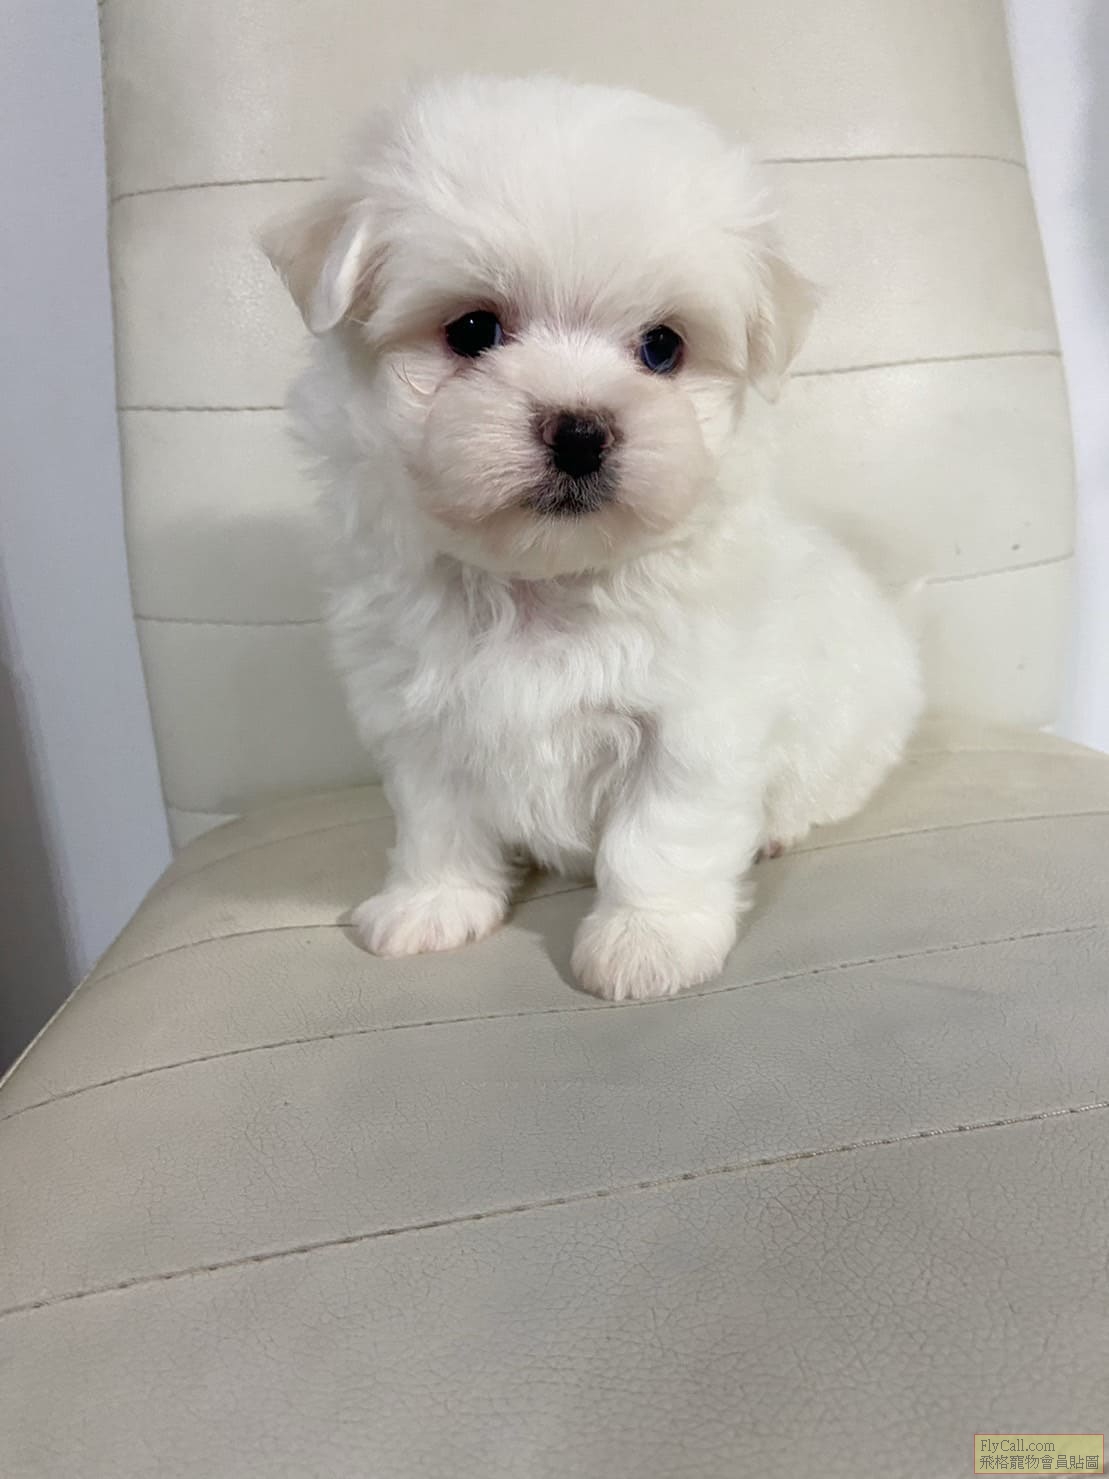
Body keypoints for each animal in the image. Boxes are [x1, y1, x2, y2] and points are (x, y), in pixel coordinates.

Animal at [262, 75, 922, 1002]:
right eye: (472, 330)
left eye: (662, 347)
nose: (579, 432)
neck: (543, 583)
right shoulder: (418, 715)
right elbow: (434, 817)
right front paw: (433, 903)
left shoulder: (695, 720)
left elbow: (660, 834)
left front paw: (648, 941)